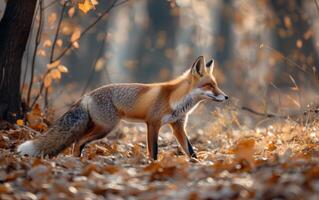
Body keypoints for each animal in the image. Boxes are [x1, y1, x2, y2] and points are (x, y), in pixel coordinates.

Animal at [17, 55, 229, 160]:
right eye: (209, 86)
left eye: (216, 84)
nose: (226, 96)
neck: (175, 99)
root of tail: (87, 95)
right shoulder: (153, 124)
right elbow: (154, 151)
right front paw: (153, 166)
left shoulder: (177, 126)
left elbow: (190, 150)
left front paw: (197, 164)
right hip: (105, 128)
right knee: (78, 141)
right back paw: (77, 161)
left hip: (97, 127)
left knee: (77, 141)